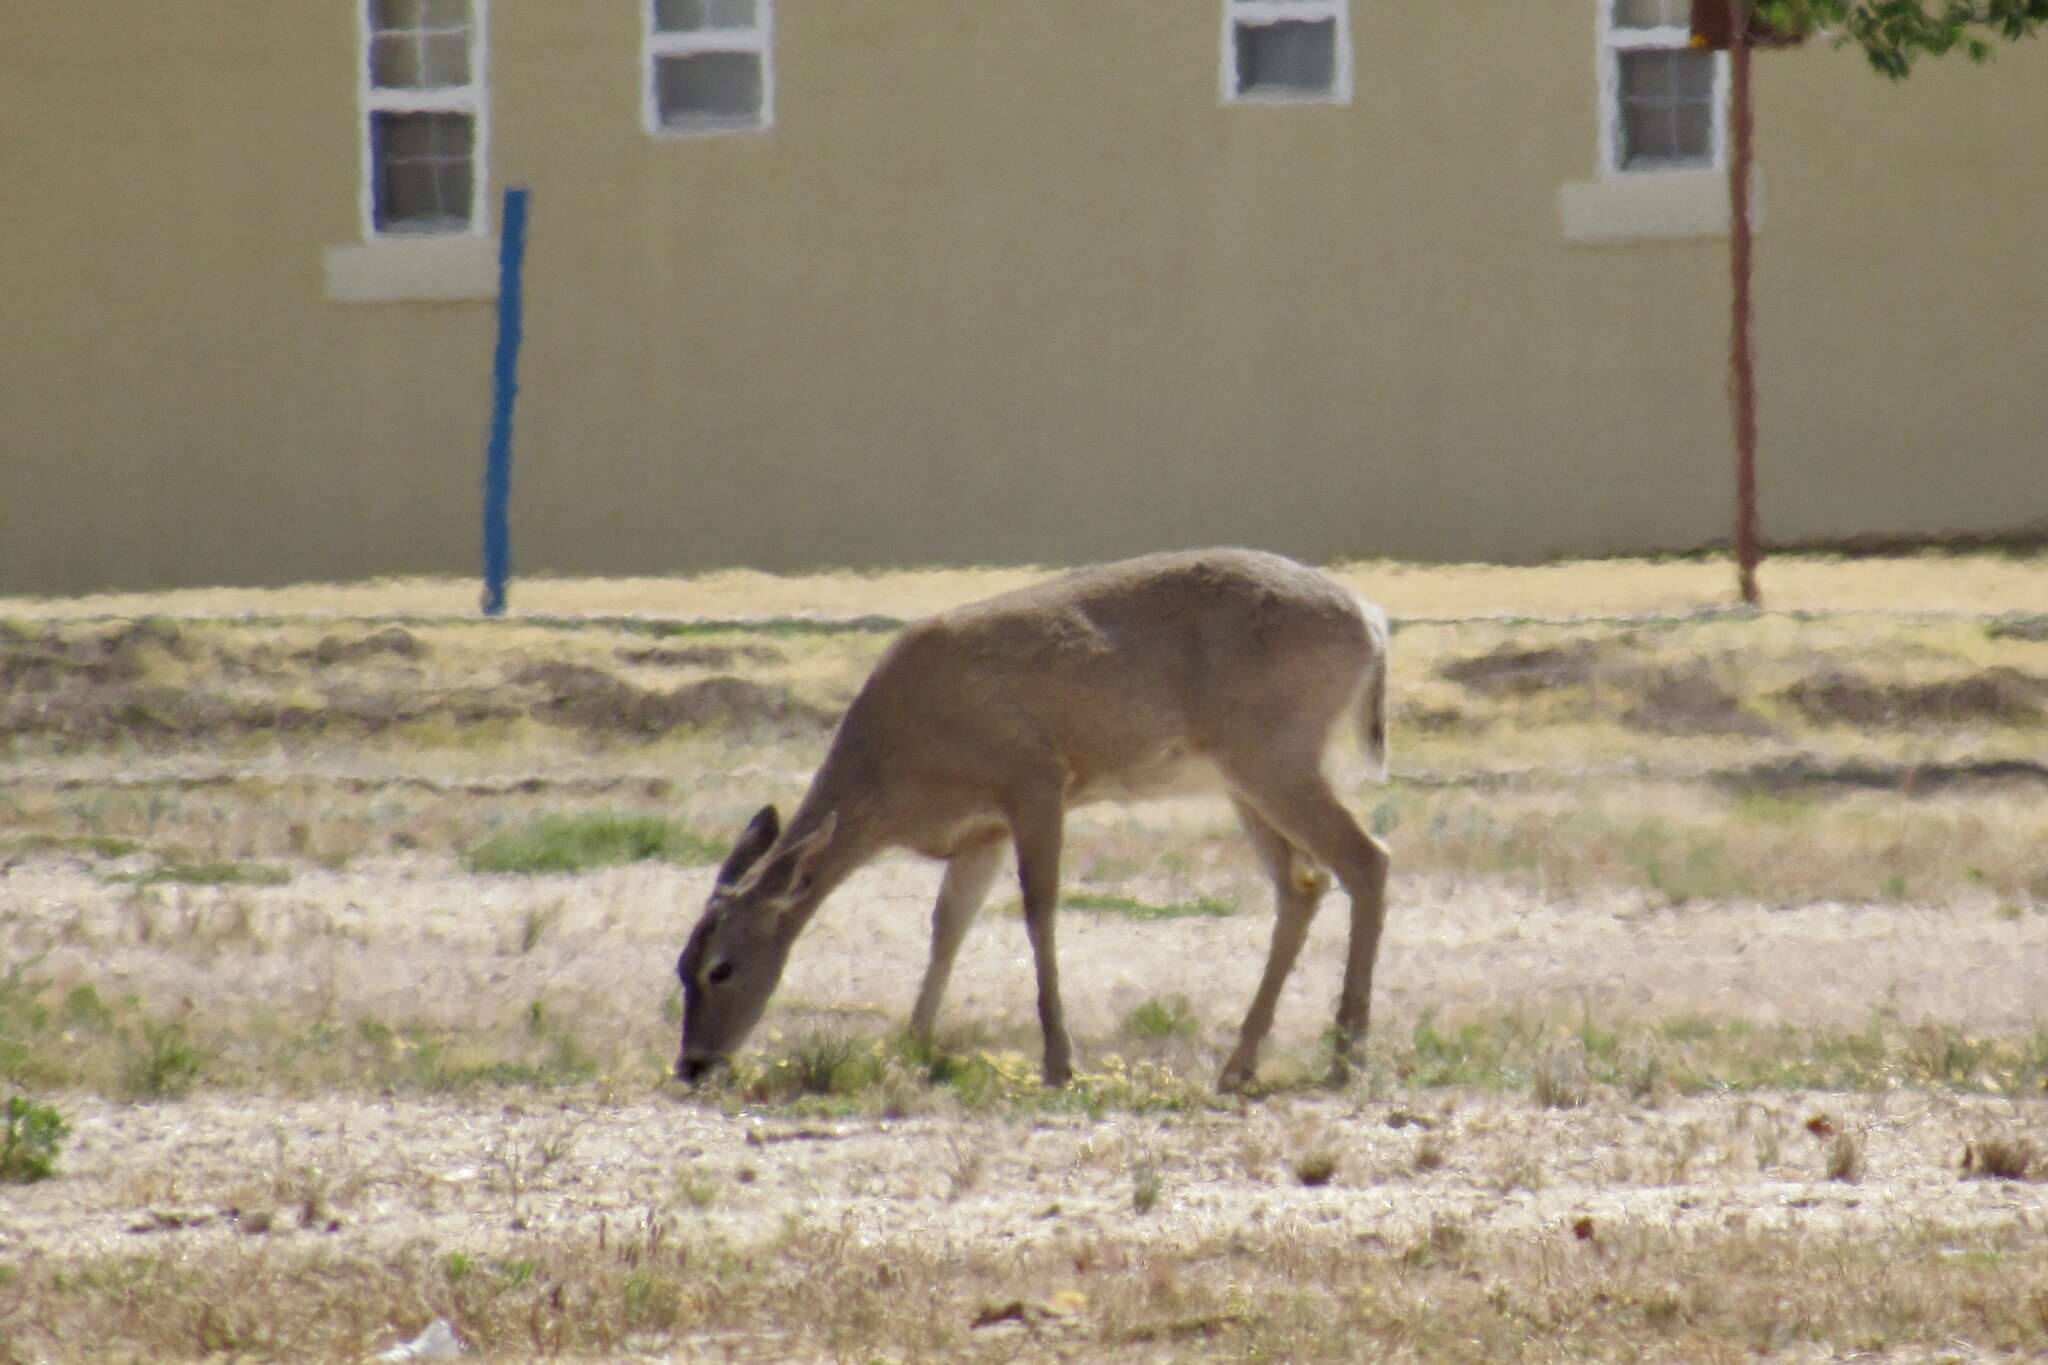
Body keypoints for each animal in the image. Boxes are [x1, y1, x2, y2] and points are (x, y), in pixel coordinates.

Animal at [671, 548, 1392, 1096]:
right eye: (680, 965)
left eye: (722, 968)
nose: (692, 1064)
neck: (900, 761)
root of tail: (1372, 622)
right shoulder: (981, 830)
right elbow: (948, 926)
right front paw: (910, 1045)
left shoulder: (1036, 782)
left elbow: (1038, 911)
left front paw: (1058, 1061)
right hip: (1245, 780)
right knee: (1303, 885)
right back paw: (1241, 1064)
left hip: (1274, 756)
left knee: (1367, 858)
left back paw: (1344, 1058)